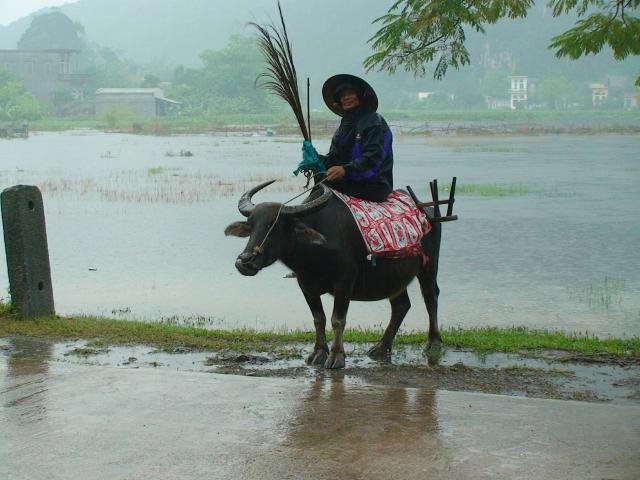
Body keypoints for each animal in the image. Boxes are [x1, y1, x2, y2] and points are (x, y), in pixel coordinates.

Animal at [226, 182, 444, 370]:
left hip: (429, 266)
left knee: (431, 297)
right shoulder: (305, 284)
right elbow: (318, 318)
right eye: (251, 225)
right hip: (394, 277)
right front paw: (318, 353)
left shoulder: (345, 281)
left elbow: (337, 319)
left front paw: (336, 356)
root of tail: (428, 211)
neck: (314, 253)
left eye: (276, 225)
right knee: (401, 305)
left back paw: (433, 342)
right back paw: (381, 346)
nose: (245, 260)